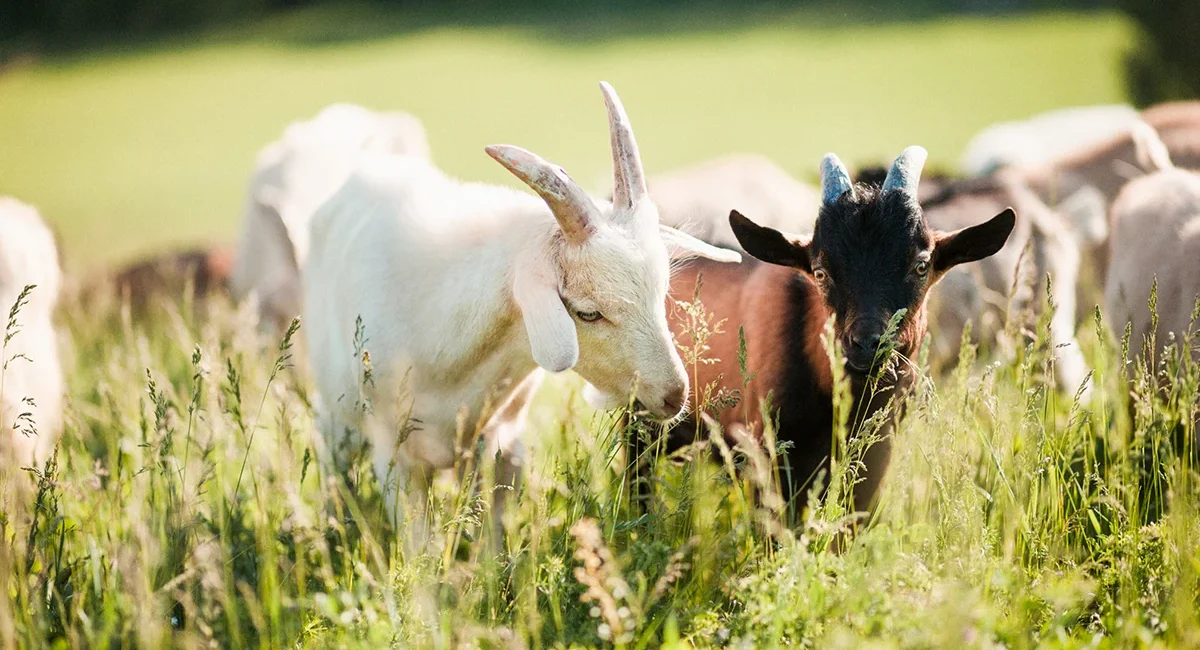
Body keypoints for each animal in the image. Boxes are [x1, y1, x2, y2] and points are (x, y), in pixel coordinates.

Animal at [303, 83, 740, 543]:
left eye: (661, 293)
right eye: (587, 313)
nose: (674, 394)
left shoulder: (503, 446)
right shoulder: (396, 457)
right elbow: (420, 546)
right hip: (336, 417)